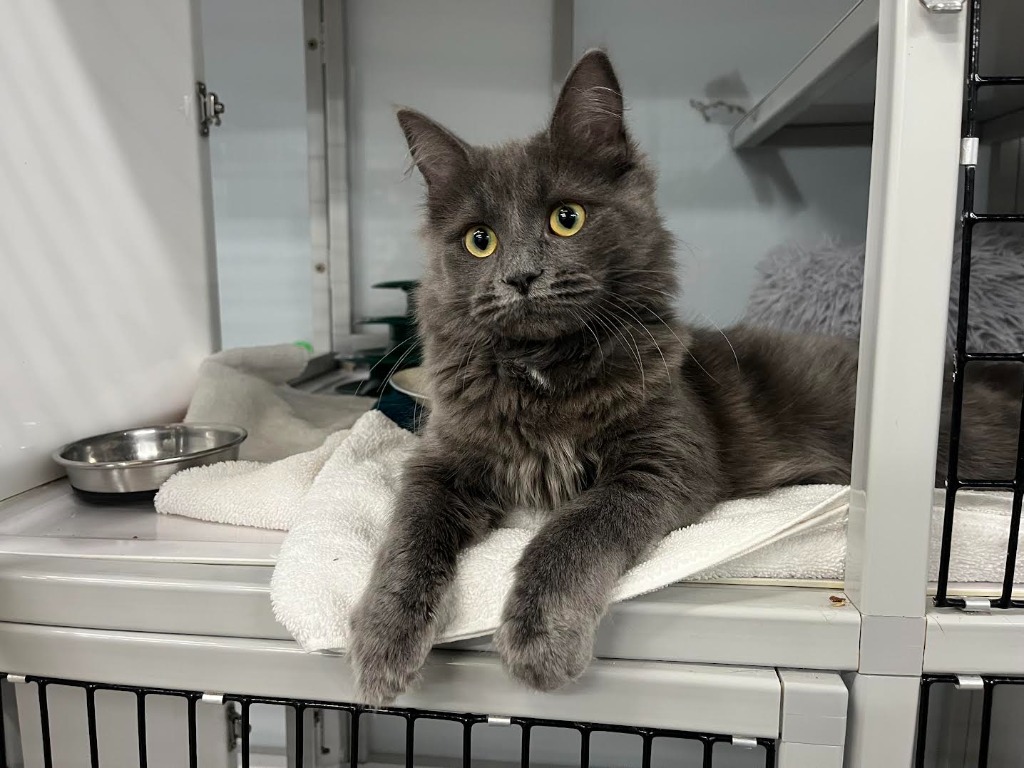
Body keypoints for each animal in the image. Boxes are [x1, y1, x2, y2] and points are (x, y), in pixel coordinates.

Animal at [349, 49, 1019, 705]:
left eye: (567, 218)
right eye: (479, 241)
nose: (519, 277)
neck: (547, 373)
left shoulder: (664, 459)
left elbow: (572, 529)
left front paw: (541, 639)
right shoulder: (441, 461)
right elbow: (408, 535)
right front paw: (380, 641)